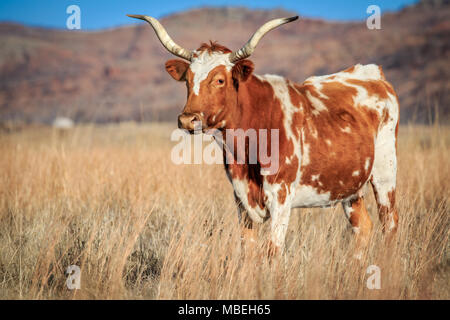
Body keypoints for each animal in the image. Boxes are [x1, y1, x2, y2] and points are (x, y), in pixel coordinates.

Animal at [128, 14, 400, 255]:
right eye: (188, 79)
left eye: (220, 80)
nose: (187, 119)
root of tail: (372, 74)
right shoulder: (241, 199)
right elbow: (247, 252)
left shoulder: (281, 197)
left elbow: (272, 252)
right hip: (351, 186)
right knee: (363, 228)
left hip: (385, 173)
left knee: (390, 224)